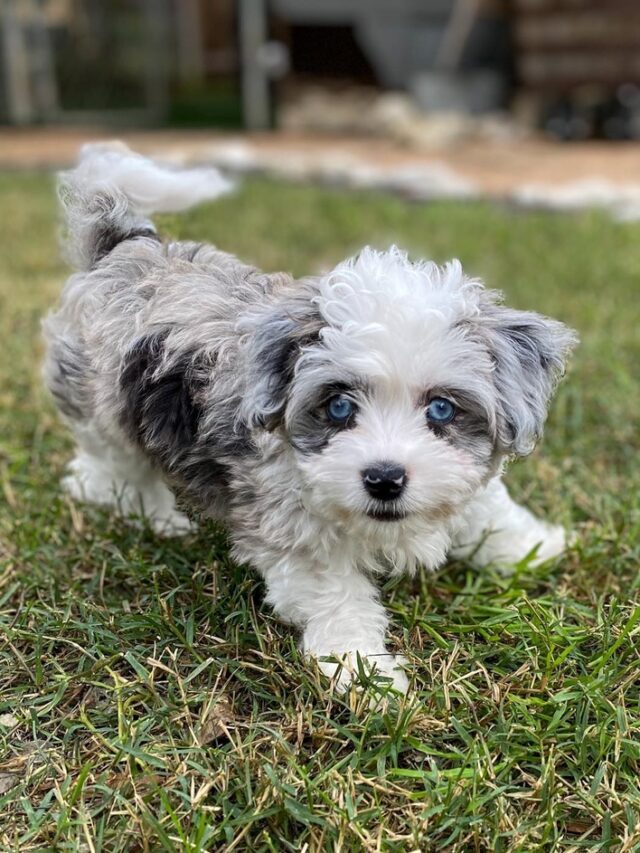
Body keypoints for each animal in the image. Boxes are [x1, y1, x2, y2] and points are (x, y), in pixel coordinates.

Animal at [42, 145, 576, 692]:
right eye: (339, 406)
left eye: (441, 408)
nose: (385, 479)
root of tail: (125, 246)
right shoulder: (295, 533)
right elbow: (336, 596)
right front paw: (364, 672)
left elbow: (490, 510)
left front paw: (535, 547)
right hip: (101, 405)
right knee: (108, 470)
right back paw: (153, 514)